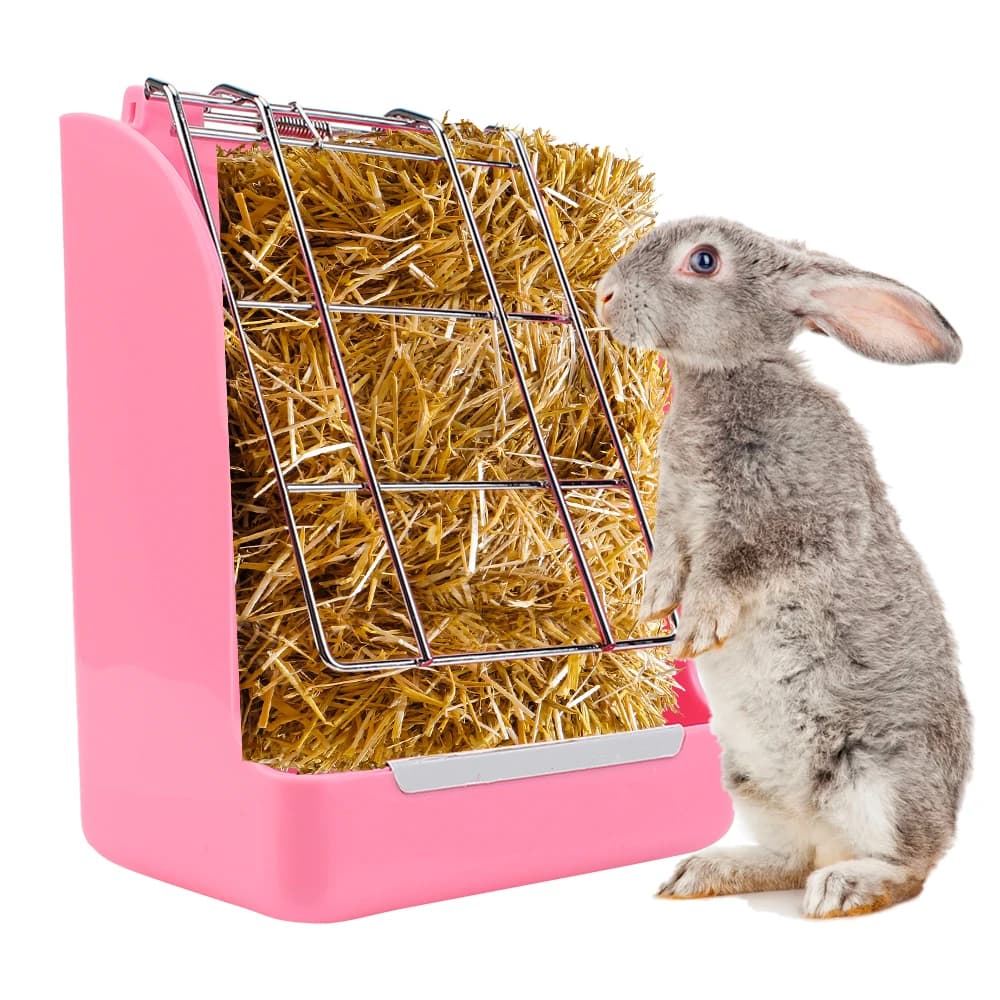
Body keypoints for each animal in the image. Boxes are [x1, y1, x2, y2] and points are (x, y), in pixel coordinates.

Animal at [595, 218, 972, 918]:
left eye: (704, 261)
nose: (603, 296)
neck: (726, 375)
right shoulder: (676, 511)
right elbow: (670, 553)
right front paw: (654, 604)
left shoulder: (795, 519)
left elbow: (734, 564)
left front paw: (699, 626)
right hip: (750, 783)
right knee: (791, 858)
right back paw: (704, 872)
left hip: (881, 777)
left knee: (908, 867)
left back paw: (844, 888)